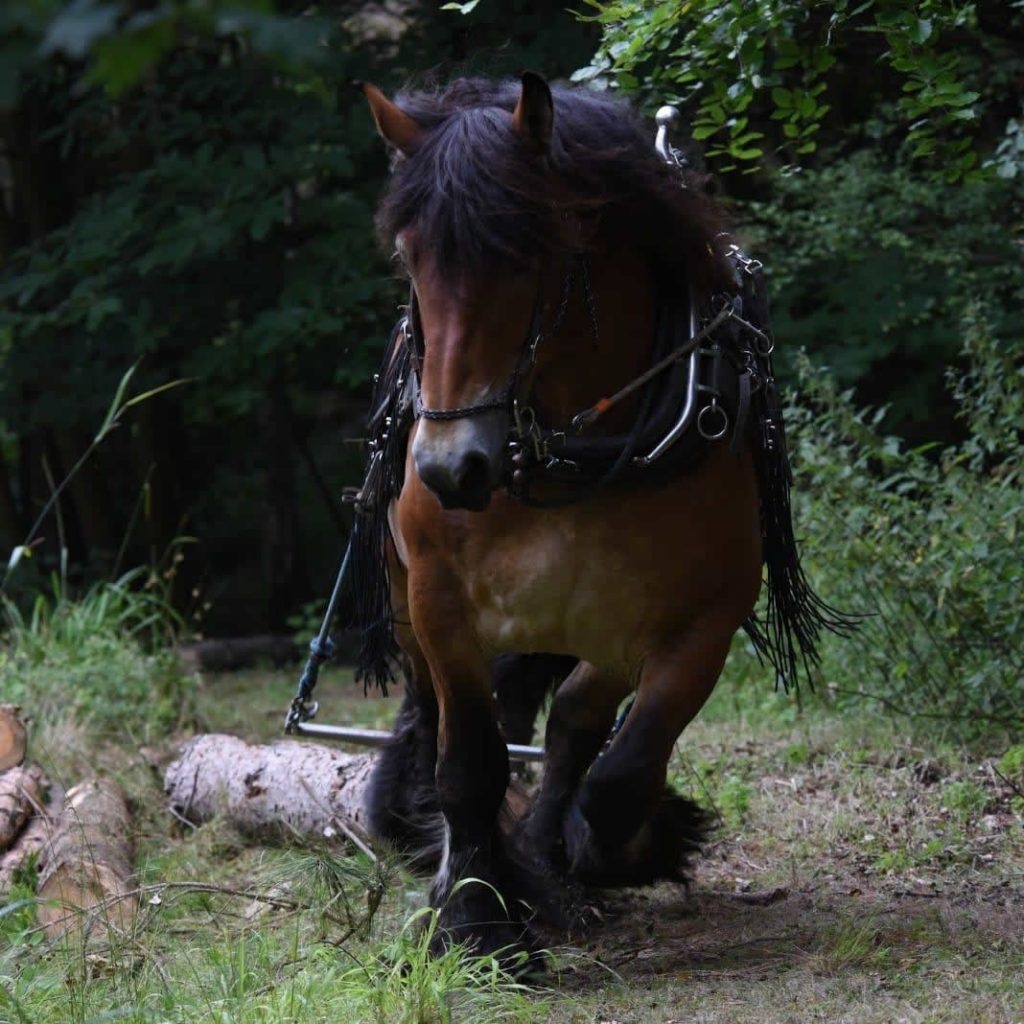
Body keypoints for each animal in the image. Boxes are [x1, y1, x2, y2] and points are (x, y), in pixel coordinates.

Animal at [352, 72, 847, 958]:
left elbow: (620, 771)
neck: (565, 446)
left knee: (578, 722)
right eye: (410, 258)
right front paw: (477, 916)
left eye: (525, 253)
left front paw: (605, 849)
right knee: (446, 720)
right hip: (413, 608)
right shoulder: (438, 601)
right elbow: (468, 761)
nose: (447, 468)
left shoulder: (698, 620)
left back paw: (557, 852)